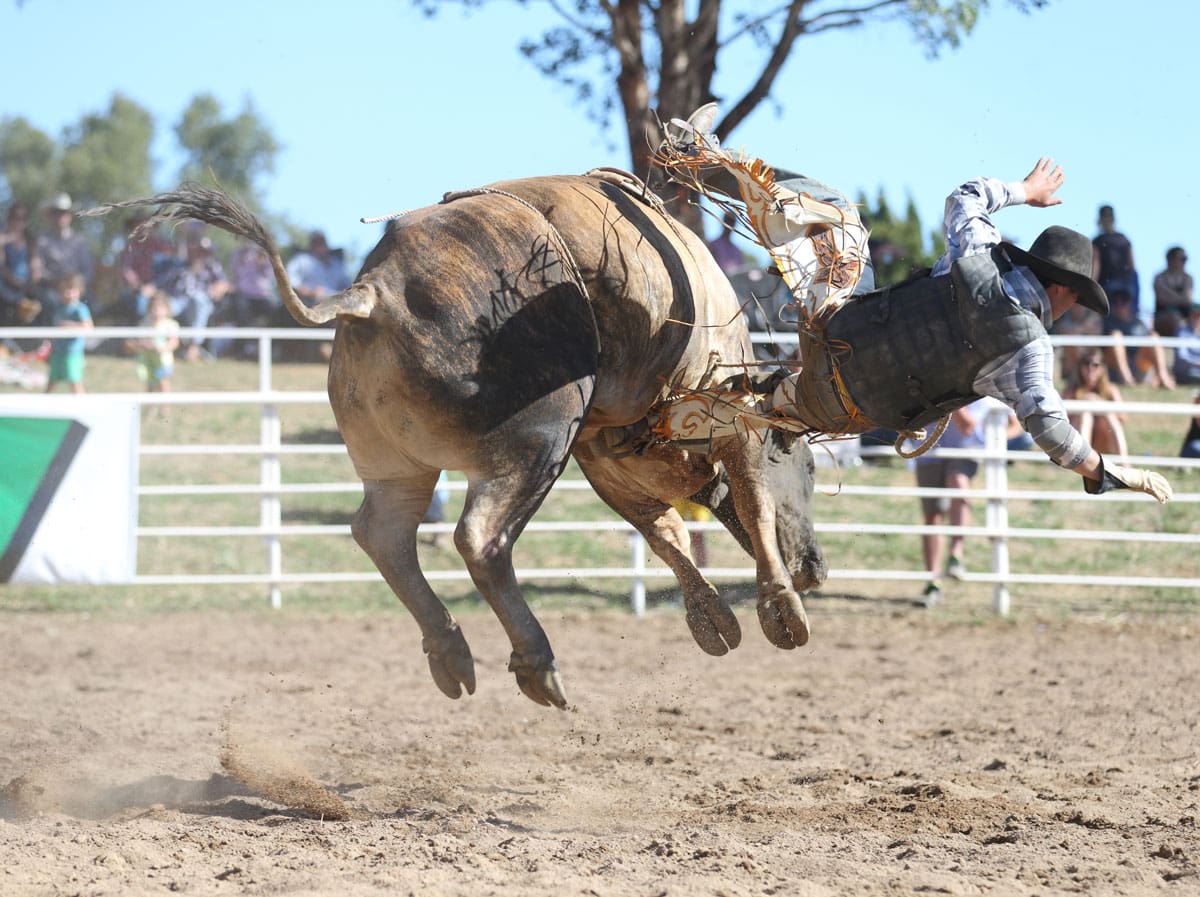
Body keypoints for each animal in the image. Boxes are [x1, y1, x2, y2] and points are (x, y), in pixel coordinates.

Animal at [91, 167, 825, 709]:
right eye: (810, 468)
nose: (816, 565)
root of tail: (375, 292)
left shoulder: (603, 453)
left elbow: (663, 528)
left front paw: (712, 618)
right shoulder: (718, 419)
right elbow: (748, 500)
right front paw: (780, 609)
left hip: (398, 463)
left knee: (383, 533)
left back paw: (450, 651)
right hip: (539, 438)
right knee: (480, 538)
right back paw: (536, 663)